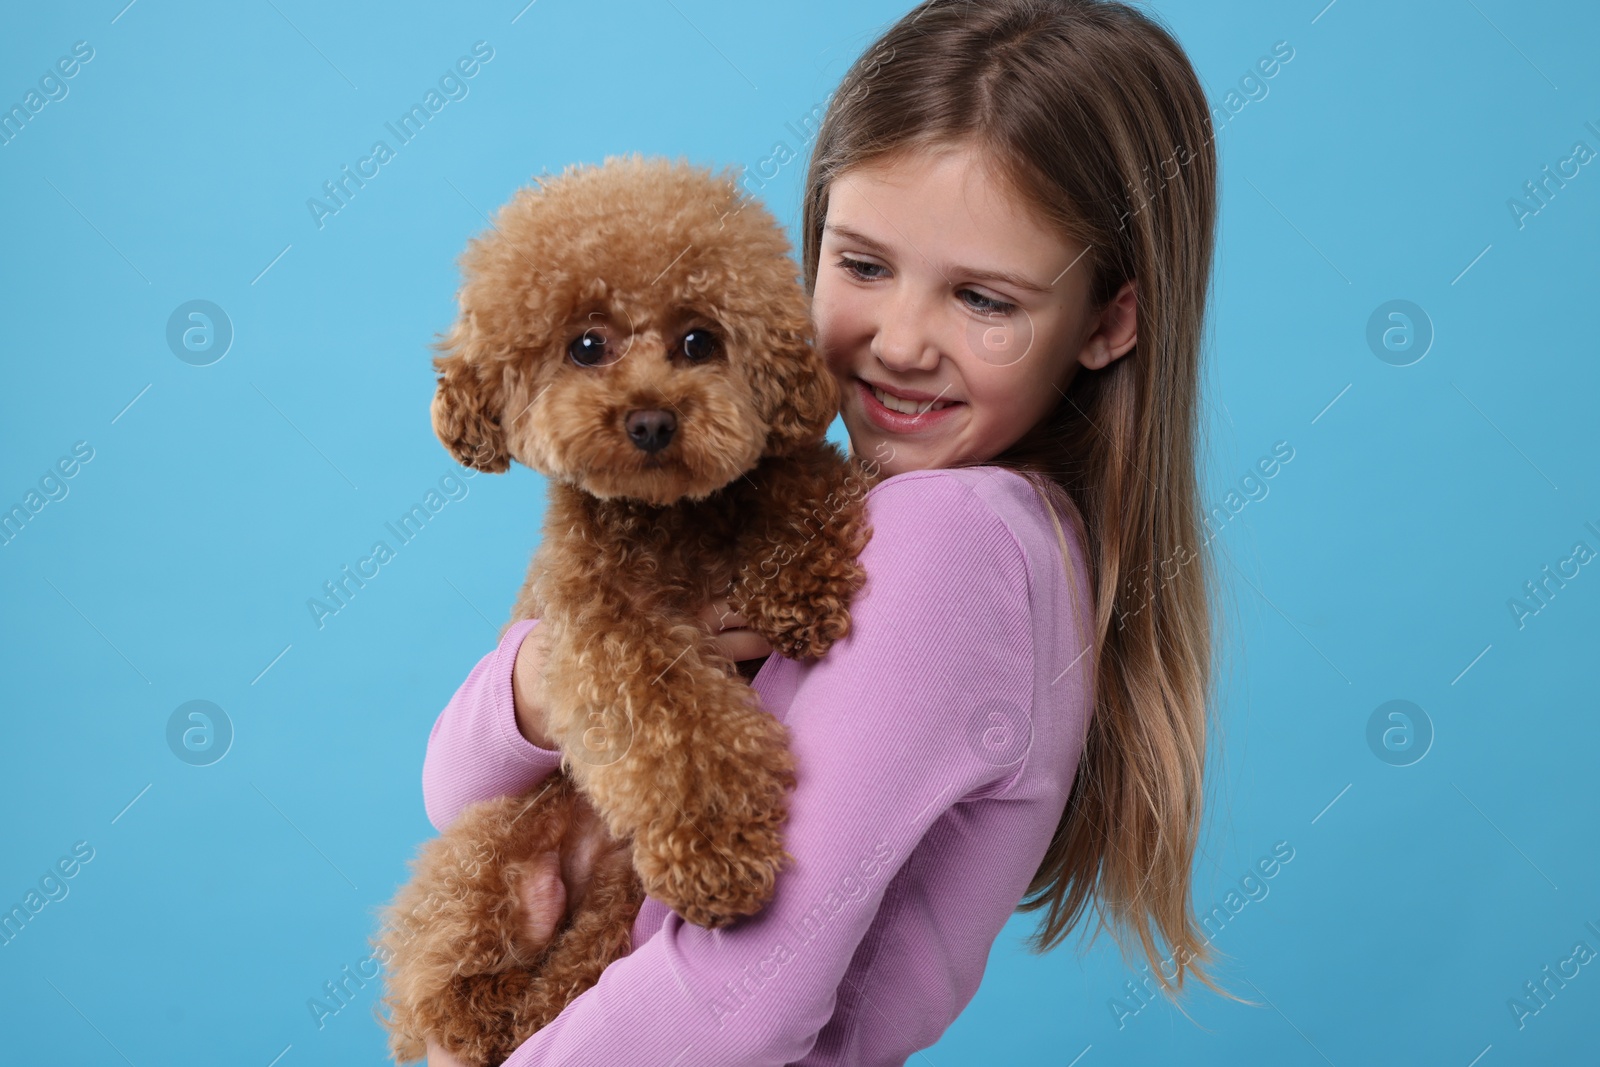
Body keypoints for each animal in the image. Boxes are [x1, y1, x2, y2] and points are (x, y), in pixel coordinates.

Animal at [374, 151, 876, 1067]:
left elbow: (799, 473)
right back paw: (478, 1010)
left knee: (574, 972)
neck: (670, 519)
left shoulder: (771, 470)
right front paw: (721, 856)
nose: (650, 420)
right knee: (442, 976)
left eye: (698, 340)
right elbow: (676, 728)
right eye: (585, 345)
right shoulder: (606, 630)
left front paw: (800, 584)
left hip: (616, 894)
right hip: (486, 851)